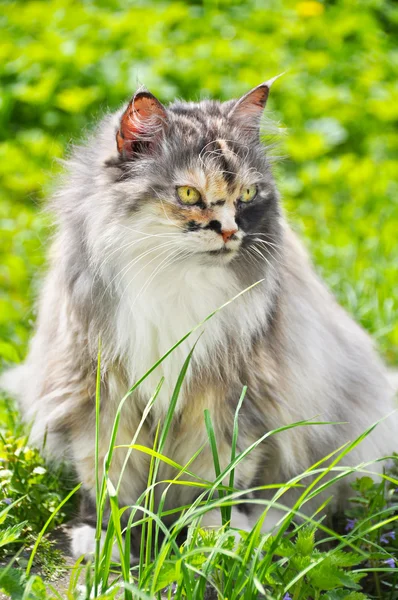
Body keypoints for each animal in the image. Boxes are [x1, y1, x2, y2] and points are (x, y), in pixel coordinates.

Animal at [1, 78, 396, 556]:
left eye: (247, 195)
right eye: (189, 194)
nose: (229, 231)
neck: (175, 279)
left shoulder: (230, 401)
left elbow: (218, 482)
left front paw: (213, 537)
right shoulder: (101, 395)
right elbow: (108, 478)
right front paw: (106, 539)